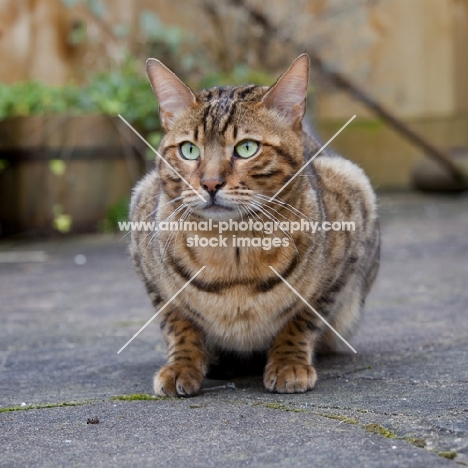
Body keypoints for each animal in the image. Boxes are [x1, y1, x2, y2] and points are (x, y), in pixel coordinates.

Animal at [129, 55, 380, 398]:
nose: (210, 183)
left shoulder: (343, 254)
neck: (233, 250)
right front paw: (182, 365)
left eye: (246, 148)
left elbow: (304, 318)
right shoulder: (148, 263)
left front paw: (289, 363)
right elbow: (178, 323)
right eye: (189, 150)